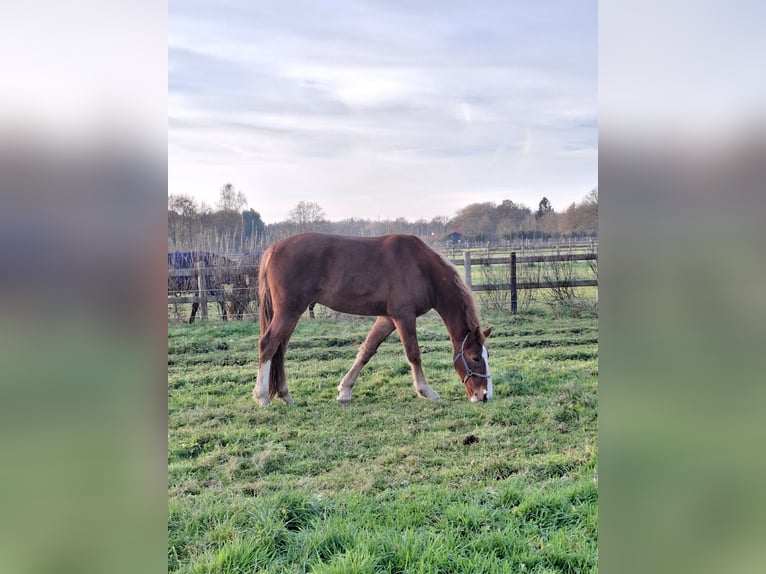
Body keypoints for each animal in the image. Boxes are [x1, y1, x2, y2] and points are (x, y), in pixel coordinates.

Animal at [252, 233, 493, 406]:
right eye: (475, 358)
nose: (484, 395)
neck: (422, 269)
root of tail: (273, 249)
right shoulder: (403, 316)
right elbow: (414, 354)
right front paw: (426, 391)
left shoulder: (387, 319)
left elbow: (367, 350)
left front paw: (345, 390)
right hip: (289, 311)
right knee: (268, 344)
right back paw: (262, 396)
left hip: (291, 313)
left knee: (280, 350)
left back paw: (284, 395)